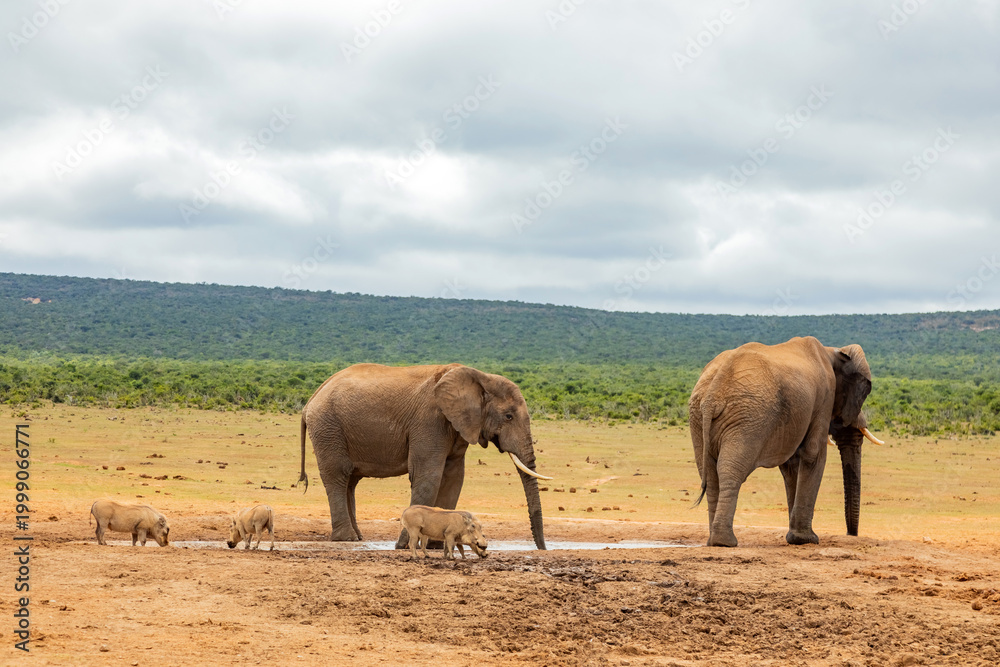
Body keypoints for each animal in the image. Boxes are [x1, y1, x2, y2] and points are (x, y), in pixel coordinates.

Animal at [297, 363, 551, 549]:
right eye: (508, 416)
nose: (543, 549)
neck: (479, 377)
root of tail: (311, 399)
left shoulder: (456, 427)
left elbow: (453, 480)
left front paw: (438, 545)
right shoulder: (430, 421)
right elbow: (428, 477)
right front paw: (405, 545)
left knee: (351, 481)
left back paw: (358, 538)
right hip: (328, 428)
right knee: (338, 476)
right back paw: (346, 539)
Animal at [688, 336, 884, 547]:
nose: (850, 534)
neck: (833, 351)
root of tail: (713, 394)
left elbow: (791, 465)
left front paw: (795, 538)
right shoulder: (824, 398)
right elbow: (813, 454)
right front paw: (807, 539)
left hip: (698, 417)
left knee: (709, 474)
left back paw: (713, 541)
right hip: (747, 417)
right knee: (731, 470)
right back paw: (725, 542)